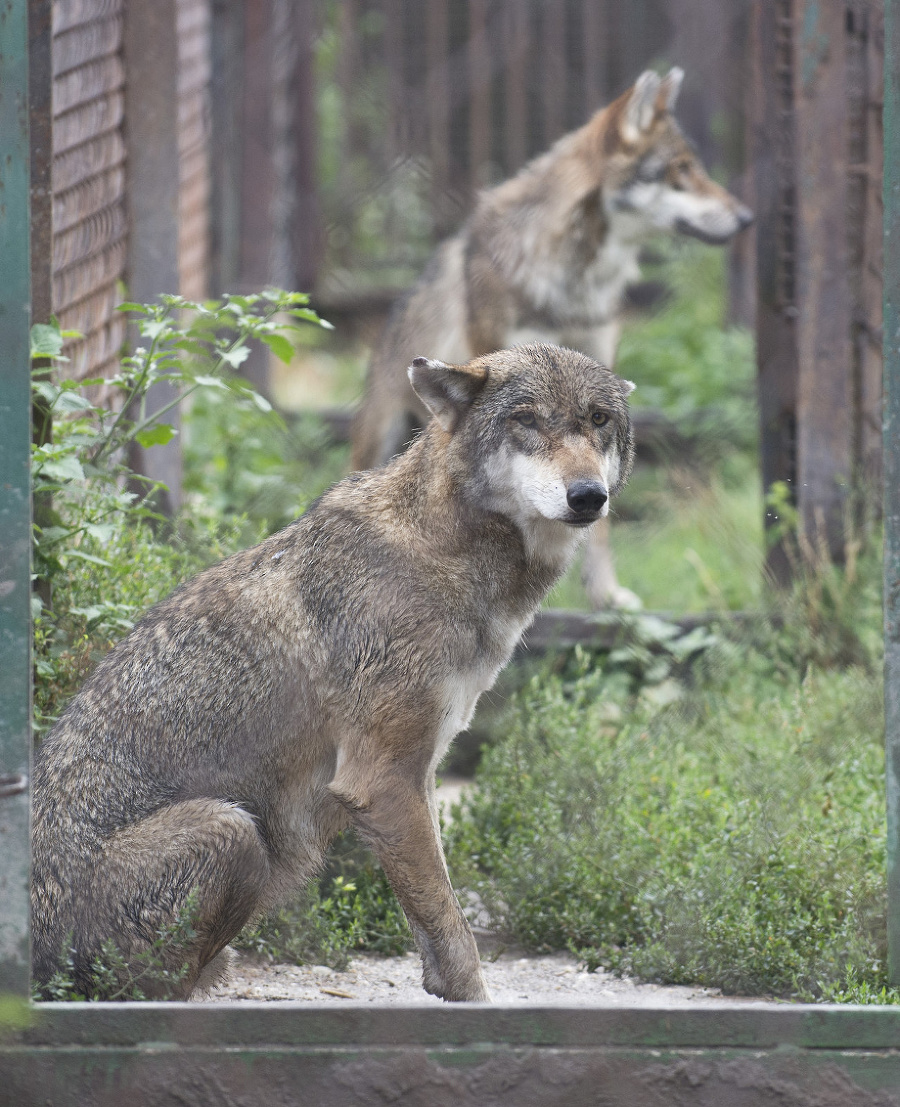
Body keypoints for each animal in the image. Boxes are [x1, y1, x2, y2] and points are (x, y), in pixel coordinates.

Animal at [31, 343, 637, 1005]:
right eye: (526, 419)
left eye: (599, 419)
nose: (588, 495)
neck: (446, 551)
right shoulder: (382, 777)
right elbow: (452, 927)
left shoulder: (419, 769)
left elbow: (436, 915)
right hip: (231, 827)